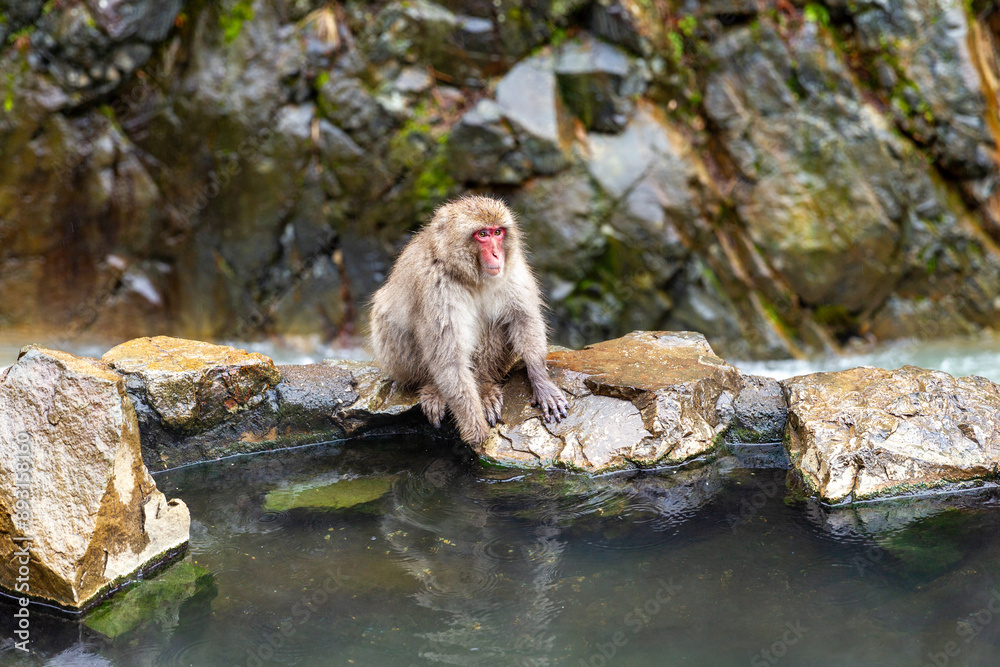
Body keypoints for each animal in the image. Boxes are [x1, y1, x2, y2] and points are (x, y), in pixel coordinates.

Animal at [369, 194, 569, 445]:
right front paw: (476, 433)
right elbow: (449, 359)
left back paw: (483, 386)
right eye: (482, 234)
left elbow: (523, 319)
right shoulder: (436, 287)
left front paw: (541, 382)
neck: (470, 276)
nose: (497, 254)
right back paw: (432, 387)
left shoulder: (512, 268)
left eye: (497, 232)